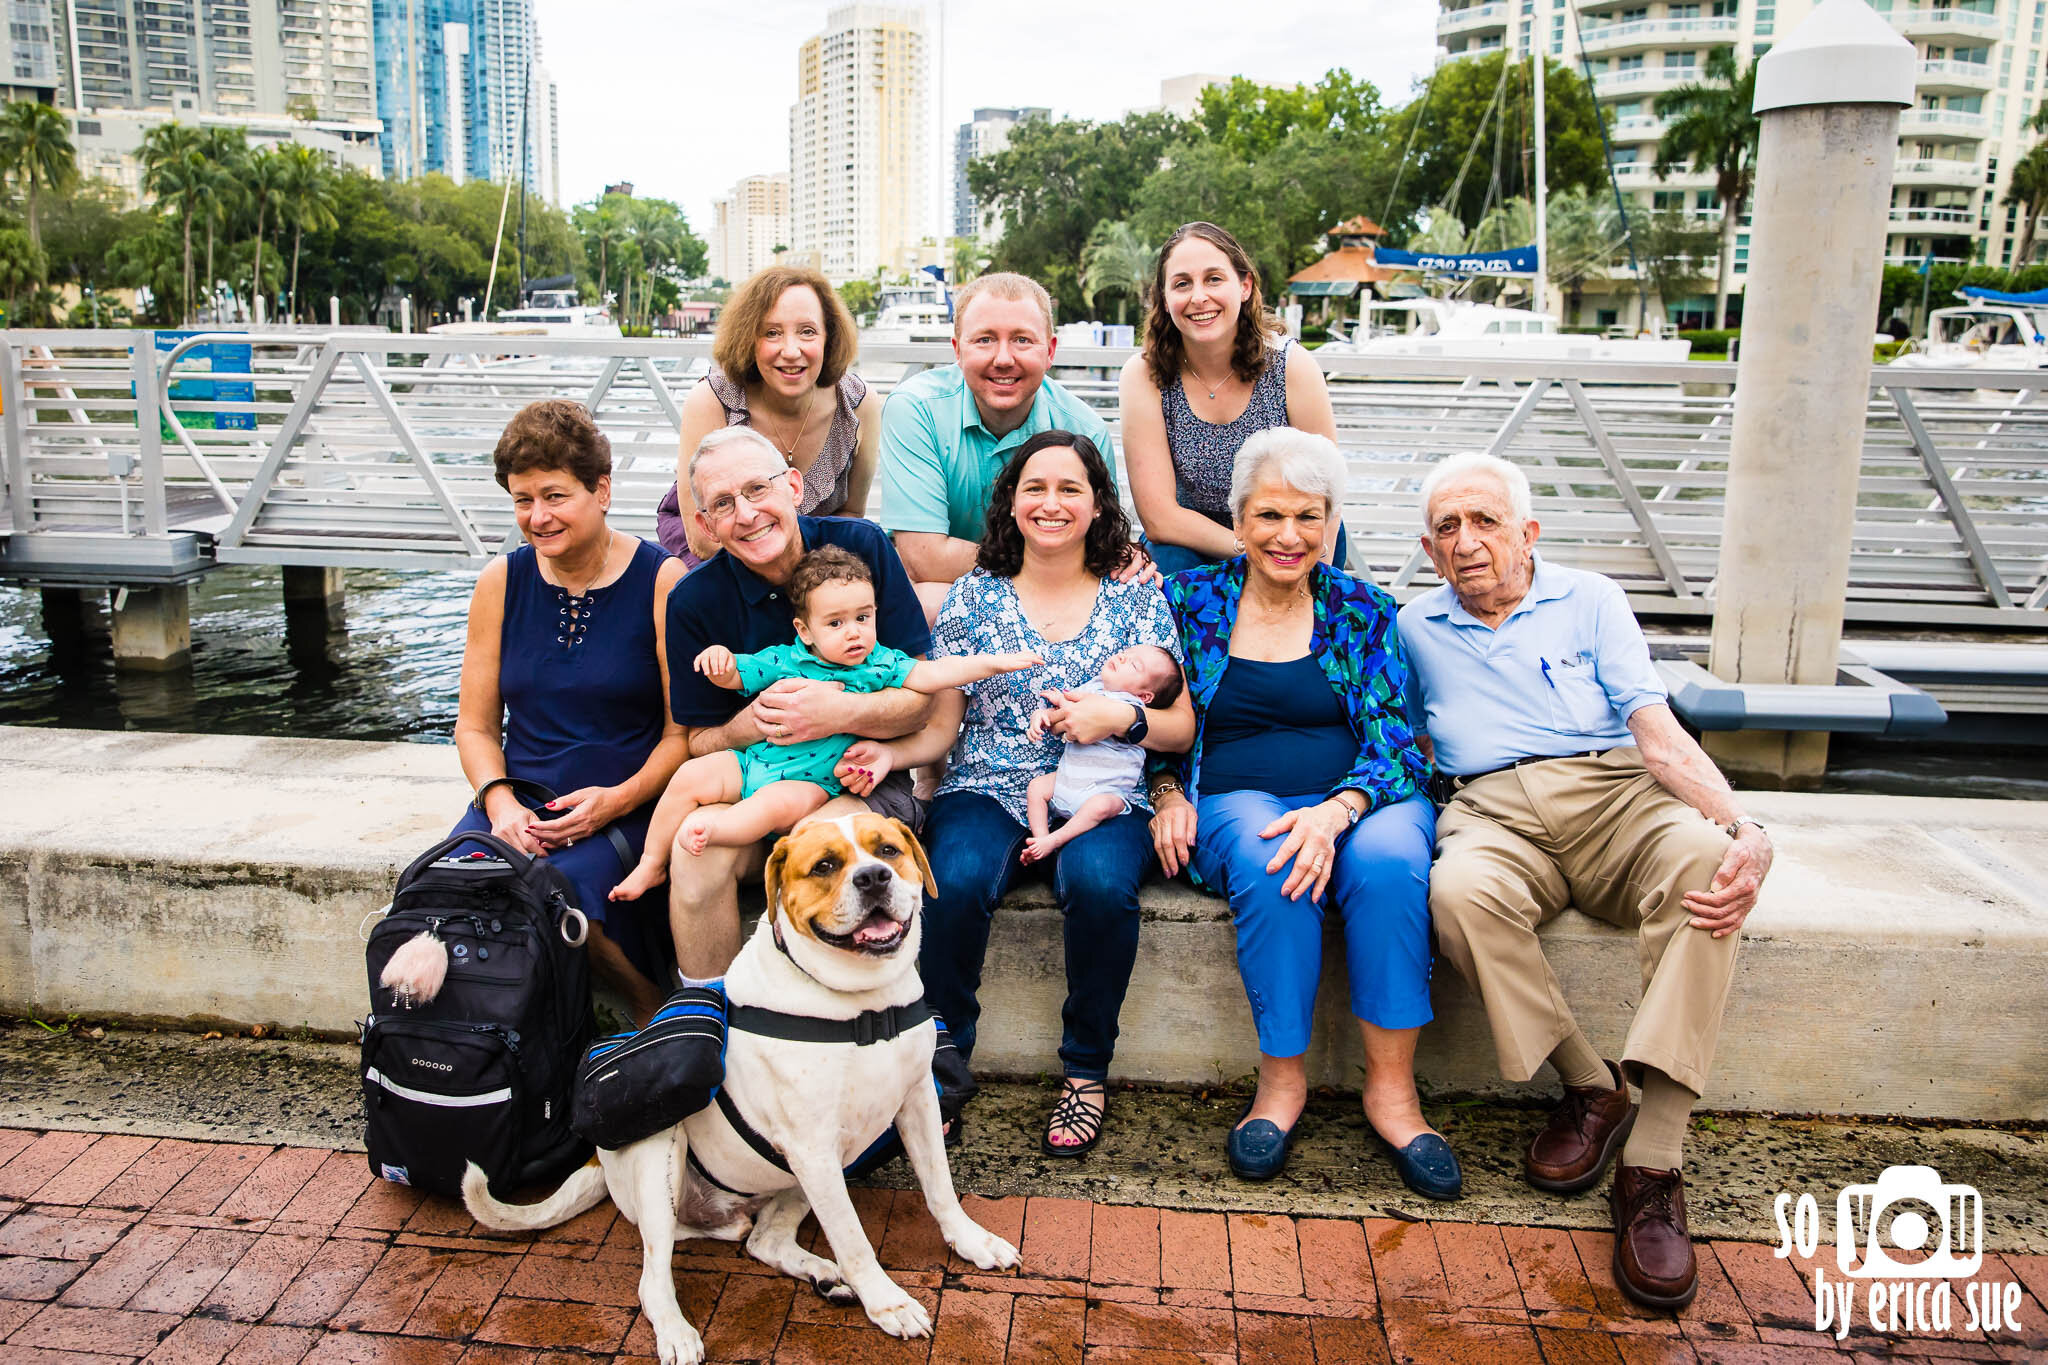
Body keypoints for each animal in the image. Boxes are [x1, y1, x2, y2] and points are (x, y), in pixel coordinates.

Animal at [456, 818, 1015, 1358]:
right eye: (825, 865)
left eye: (889, 851)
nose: (874, 877)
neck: (863, 1005)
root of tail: (596, 1157)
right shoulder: (813, 1147)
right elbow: (854, 1239)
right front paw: (888, 1303)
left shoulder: (916, 1103)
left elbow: (940, 1189)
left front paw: (973, 1241)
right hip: (665, 1152)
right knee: (655, 1272)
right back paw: (677, 1332)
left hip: (805, 1176)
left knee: (762, 1240)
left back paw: (822, 1274)